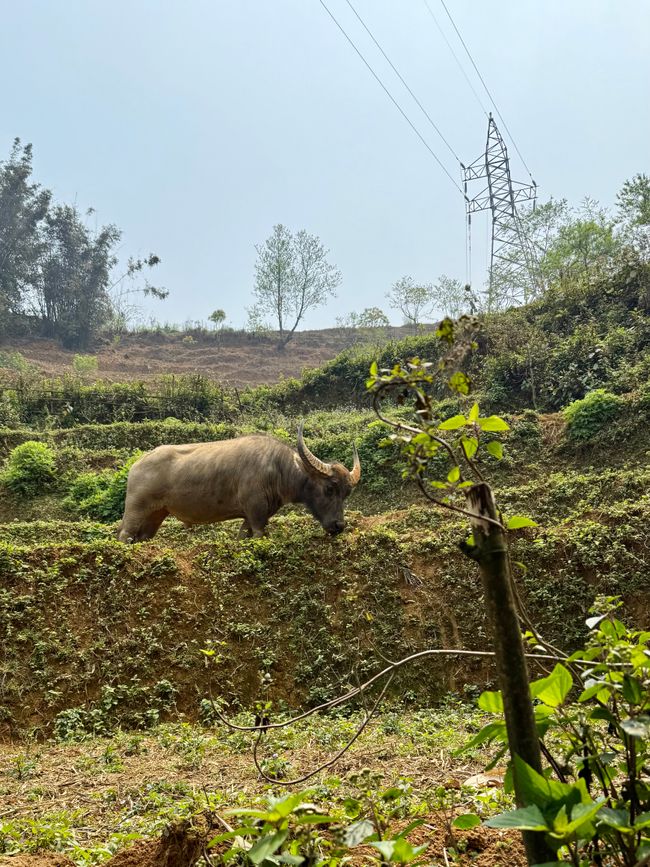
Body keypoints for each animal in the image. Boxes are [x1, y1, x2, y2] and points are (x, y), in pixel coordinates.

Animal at [117, 424, 361, 542]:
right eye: (329, 488)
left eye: (347, 493)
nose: (339, 526)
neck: (277, 469)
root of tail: (136, 465)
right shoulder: (257, 515)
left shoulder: (250, 517)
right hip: (136, 511)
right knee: (124, 535)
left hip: (155, 516)